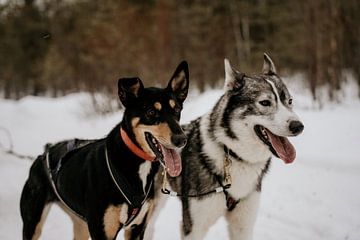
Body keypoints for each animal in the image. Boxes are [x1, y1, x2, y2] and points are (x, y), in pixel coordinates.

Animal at [20, 61, 188, 239]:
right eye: (151, 112)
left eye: (177, 110)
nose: (181, 139)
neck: (132, 162)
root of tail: (43, 154)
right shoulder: (102, 231)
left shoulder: (137, 228)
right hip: (33, 224)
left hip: (81, 225)